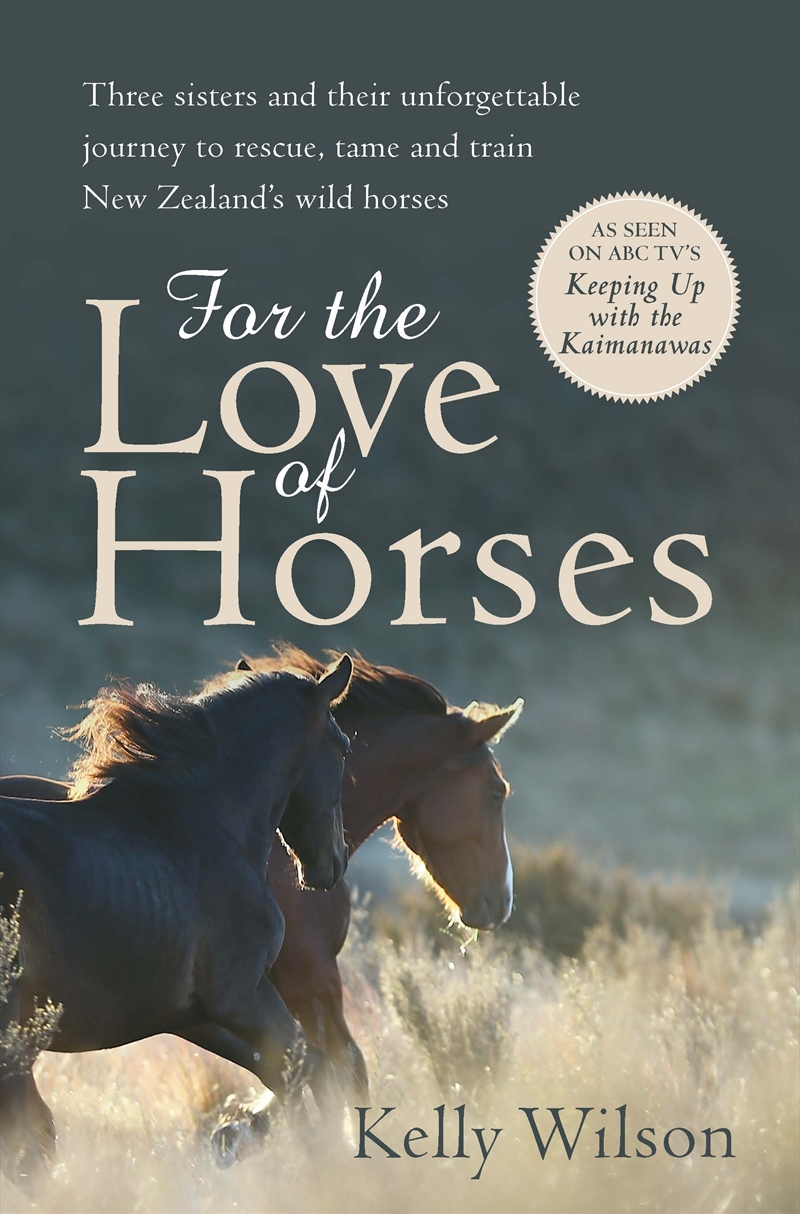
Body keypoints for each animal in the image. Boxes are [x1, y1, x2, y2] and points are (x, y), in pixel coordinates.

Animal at [0, 654, 353, 1182]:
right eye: (343, 746)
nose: (333, 864)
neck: (204, 824)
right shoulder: (241, 996)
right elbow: (302, 1066)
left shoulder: (189, 1013)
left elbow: (287, 1070)